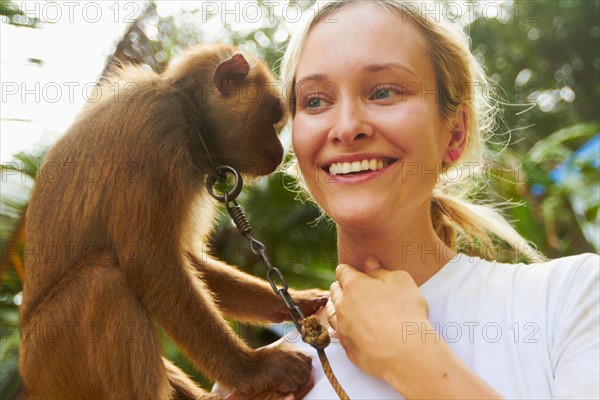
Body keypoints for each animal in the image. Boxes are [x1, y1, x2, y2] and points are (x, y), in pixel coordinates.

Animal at [19, 44, 328, 400]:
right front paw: (255, 371)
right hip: (51, 359)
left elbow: (189, 260)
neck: (183, 103)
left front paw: (299, 301)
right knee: (103, 281)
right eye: (273, 118)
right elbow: (150, 260)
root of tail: (29, 376)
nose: (279, 153)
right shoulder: (158, 127)